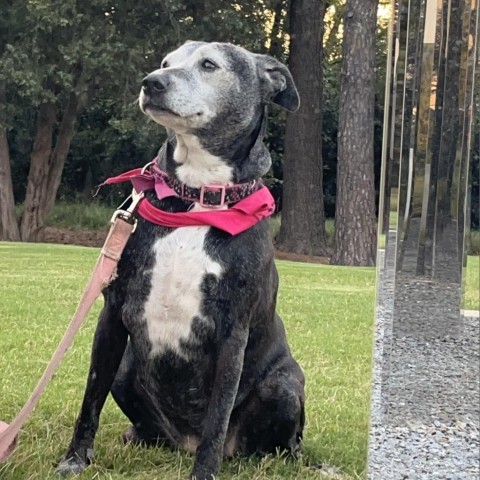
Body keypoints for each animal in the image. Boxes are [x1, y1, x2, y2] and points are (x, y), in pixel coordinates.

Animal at [55, 41, 304, 480]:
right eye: (167, 62)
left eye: (209, 65)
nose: (151, 82)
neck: (197, 197)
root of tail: (182, 442)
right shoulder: (112, 315)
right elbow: (91, 398)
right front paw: (75, 459)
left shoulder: (232, 333)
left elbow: (217, 418)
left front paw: (205, 473)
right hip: (127, 368)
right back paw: (138, 437)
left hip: (285, 386)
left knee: (277, 440)